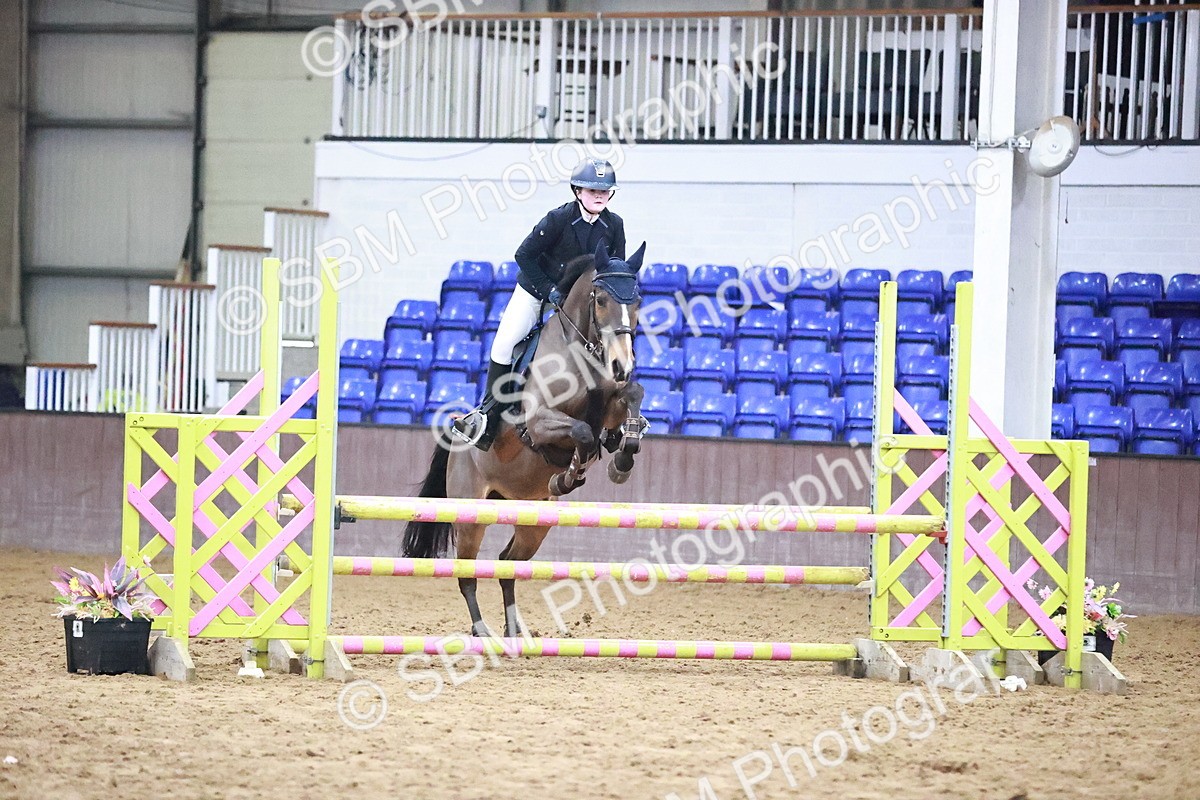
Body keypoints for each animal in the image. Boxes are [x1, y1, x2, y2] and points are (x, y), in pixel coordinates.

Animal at [401, 241, 648, 637]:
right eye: (600, 300)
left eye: (637, 300)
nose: (621, 365)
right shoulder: (538, 423)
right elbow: (581, 432)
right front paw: (570, 475)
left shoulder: (611, 401)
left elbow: (631, 399)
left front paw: (621, 458)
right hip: (471, 516)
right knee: (467, 573)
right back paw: (483, 631)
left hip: (534, 521)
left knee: (507, 565)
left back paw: (516, 631)